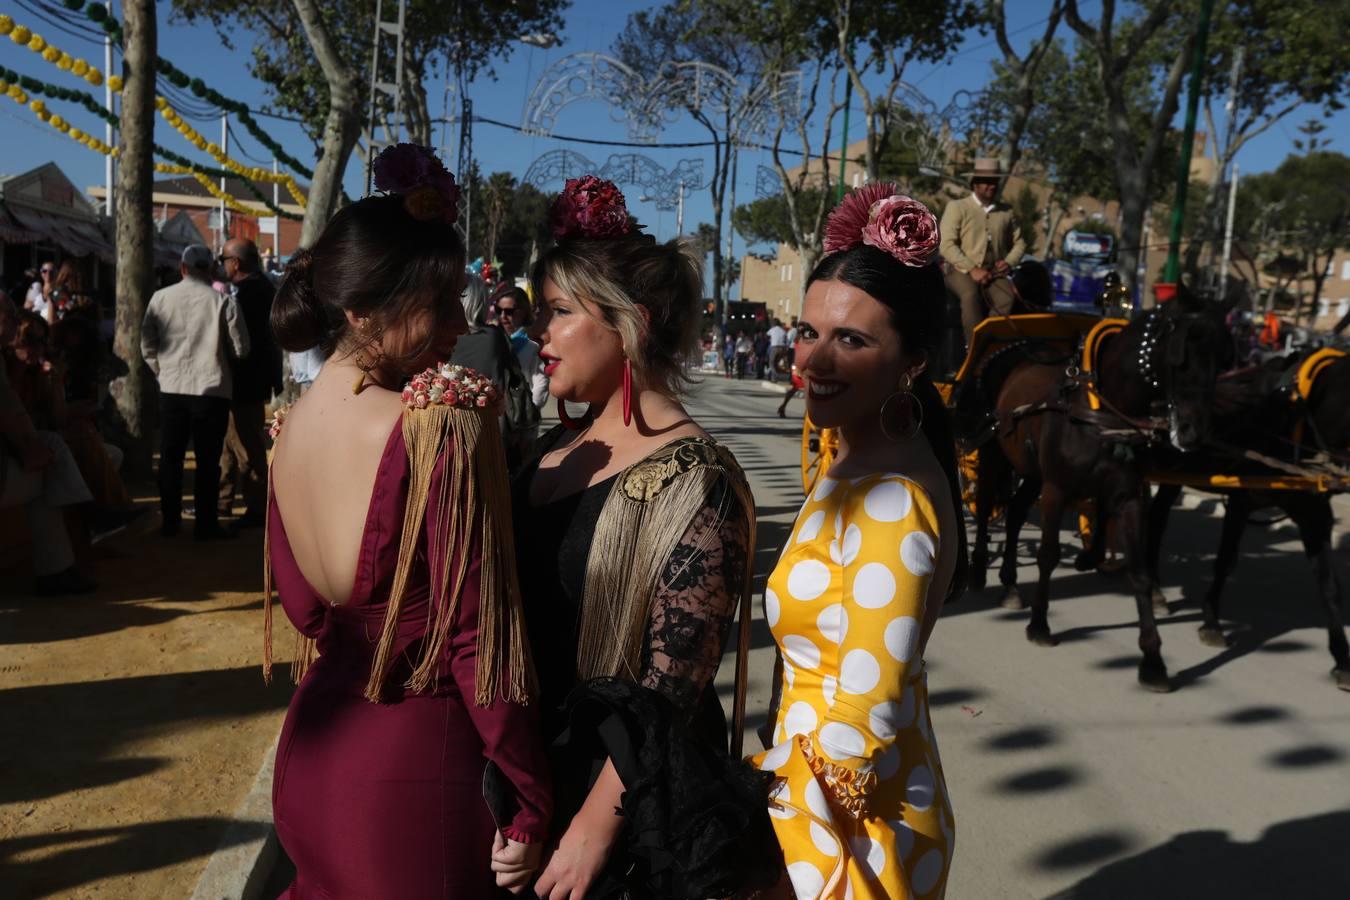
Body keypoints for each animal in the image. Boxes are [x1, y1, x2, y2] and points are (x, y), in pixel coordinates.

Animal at [972, 292, 1236, 696]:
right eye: (1181, 355)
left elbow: (1139, 572)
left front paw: (1153, 661)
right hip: (992, 453)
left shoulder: (1128, 497)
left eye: (1223, 358)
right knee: (986, 505)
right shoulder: (1056, 489)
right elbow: (1048, 555)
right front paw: (1040, 625)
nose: (1195, 432)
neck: (1102, 410)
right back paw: (975, 572)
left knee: (1015, 513)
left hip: (1030, 471)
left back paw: (1011, 583)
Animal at [1144, 350, 1350, 690]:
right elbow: (1225, 561)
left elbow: (1329, 584)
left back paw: (1156, 590)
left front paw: (1342, 660)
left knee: (1157, 518)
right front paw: (1211, 623)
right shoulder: (1241, 501)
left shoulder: (1315, 513)